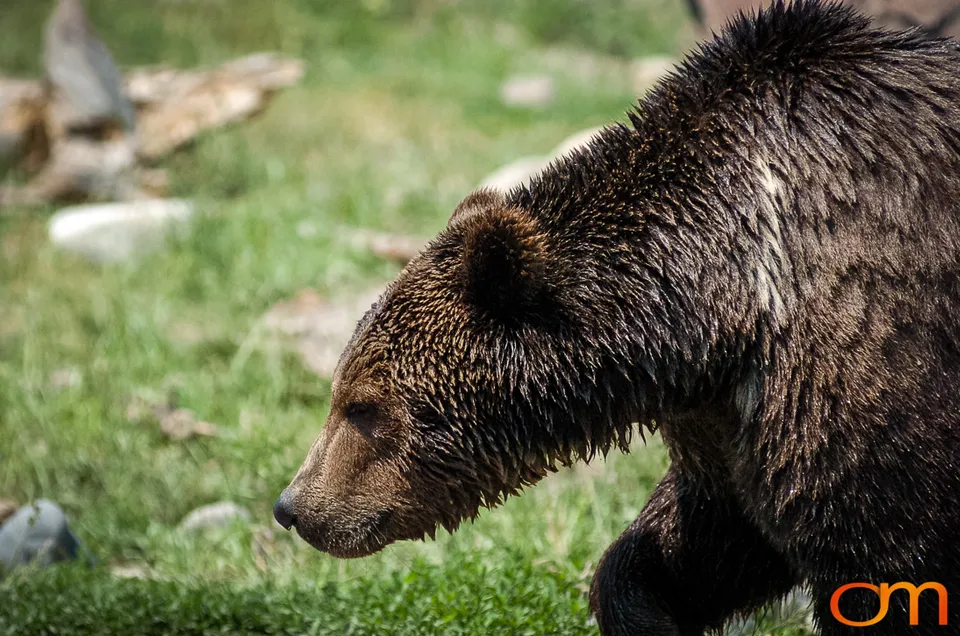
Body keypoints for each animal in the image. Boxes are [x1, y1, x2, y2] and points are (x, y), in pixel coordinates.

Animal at [275, 1, 960, 633]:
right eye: (342, 392)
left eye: (364, 407)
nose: (293, 506)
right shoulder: (724, 418)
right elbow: (710, 535)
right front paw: (644, 607)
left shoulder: (860, 369)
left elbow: (879, 558)